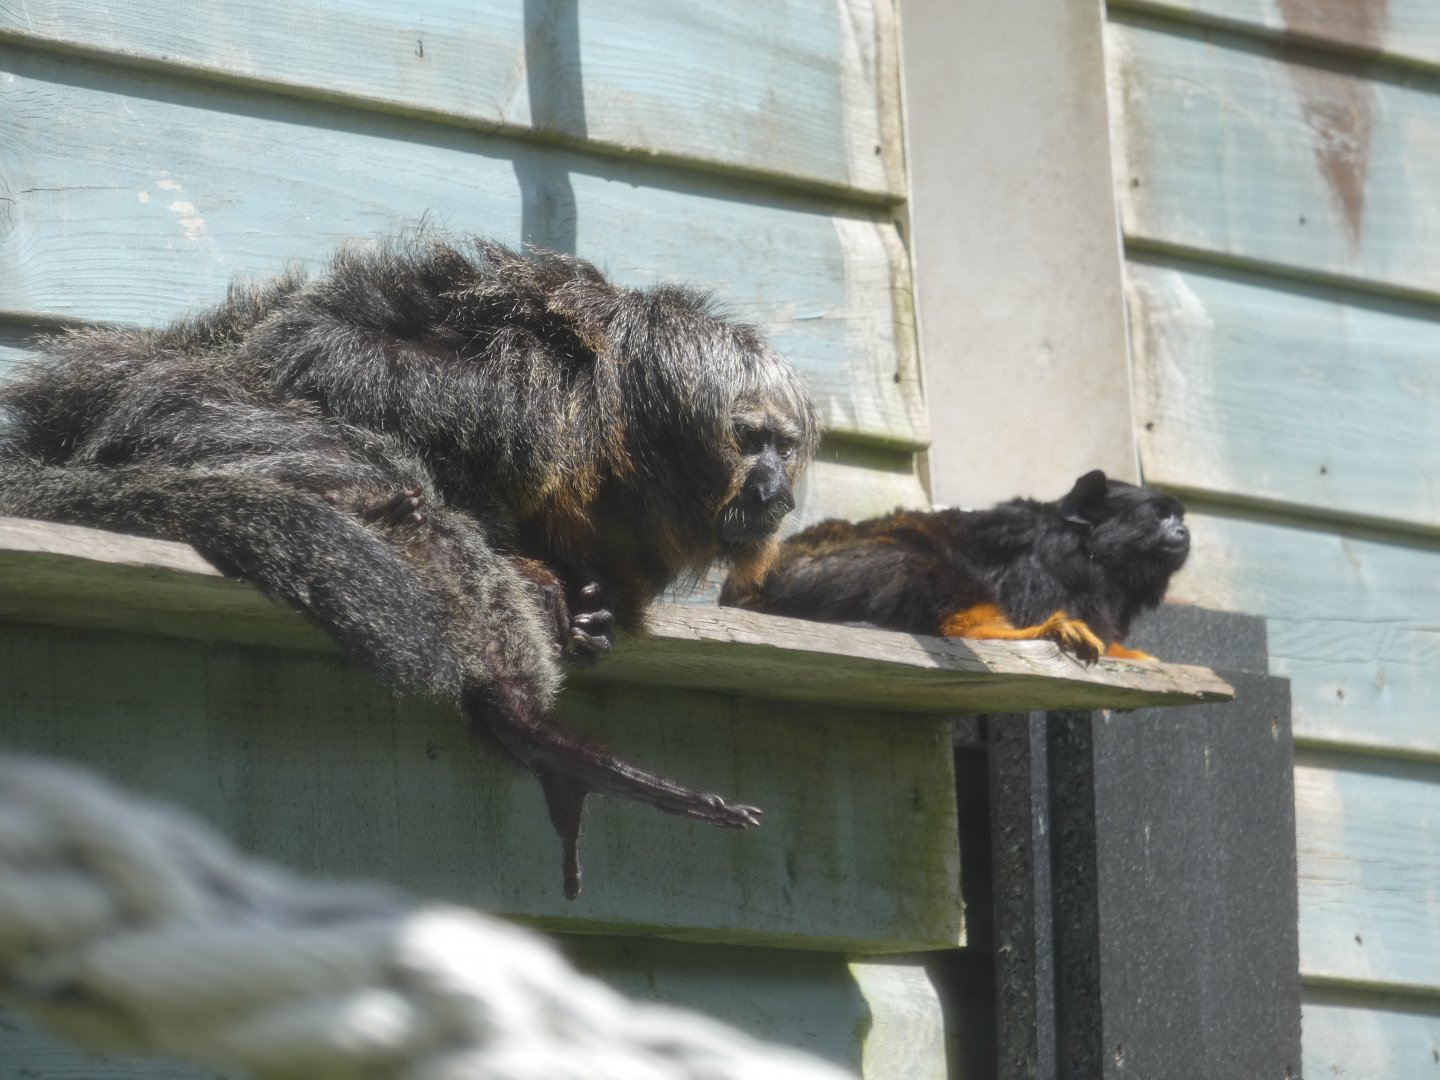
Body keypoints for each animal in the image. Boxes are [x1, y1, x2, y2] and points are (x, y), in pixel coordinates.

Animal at [0, 237, 821, 898]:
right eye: (752, 441)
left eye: (785, 449)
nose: (776, 490)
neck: (610, 441)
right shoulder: (521, 395)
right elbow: (326, 351)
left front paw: (588, 610)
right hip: (159, 404)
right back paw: (529, 724)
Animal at [720, 470, 1189, 663]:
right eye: (1160, 517)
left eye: (1180, 517)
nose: (1184, 532)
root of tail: (739, 587)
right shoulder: (1035, 556)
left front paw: (1125, 651)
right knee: (924, 561)